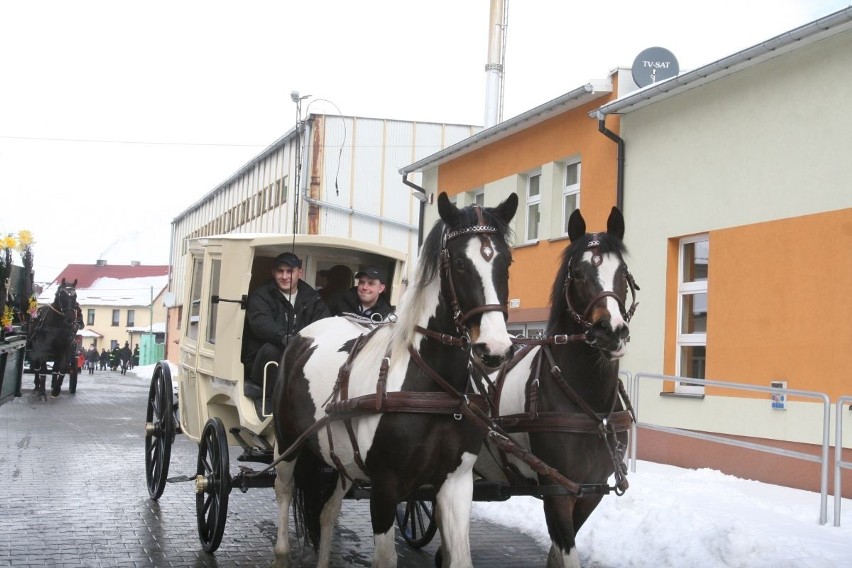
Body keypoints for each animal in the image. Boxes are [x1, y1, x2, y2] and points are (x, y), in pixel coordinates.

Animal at [272, 192, 520, 568]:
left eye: (506, 262)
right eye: (460, 264)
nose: (494, 349)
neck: (432, 389)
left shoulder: (457, 483)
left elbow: (461, 557)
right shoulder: (385, 487)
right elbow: (385, 558)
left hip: (341, 459)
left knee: (328, 512)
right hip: (288, 442)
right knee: (284, 491)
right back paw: (281, 551)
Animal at [476, 207, 636, 568]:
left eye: (622, 272)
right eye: (577, 274)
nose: (612, 332)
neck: (592, 410)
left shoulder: (590, 489)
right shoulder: (557, 489)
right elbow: (565, 548)